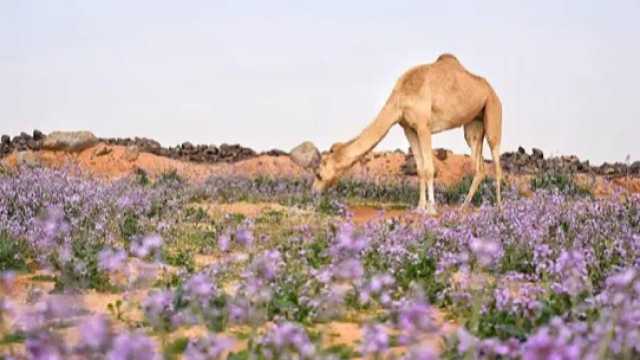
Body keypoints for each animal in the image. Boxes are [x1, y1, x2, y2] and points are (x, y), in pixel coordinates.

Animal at [308, 53, 500, 214]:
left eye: (318, 174)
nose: (313, 191)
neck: (400, 99)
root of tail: (490, 88)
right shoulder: (409, 128)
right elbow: (420, 169)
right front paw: (420, 207)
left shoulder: (424, 126)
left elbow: (429, 169)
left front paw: (431, 209)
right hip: (473, 125)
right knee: (480, 167)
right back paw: (464, 206)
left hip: (492, 108)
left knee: (496, 159)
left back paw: (499, 206)